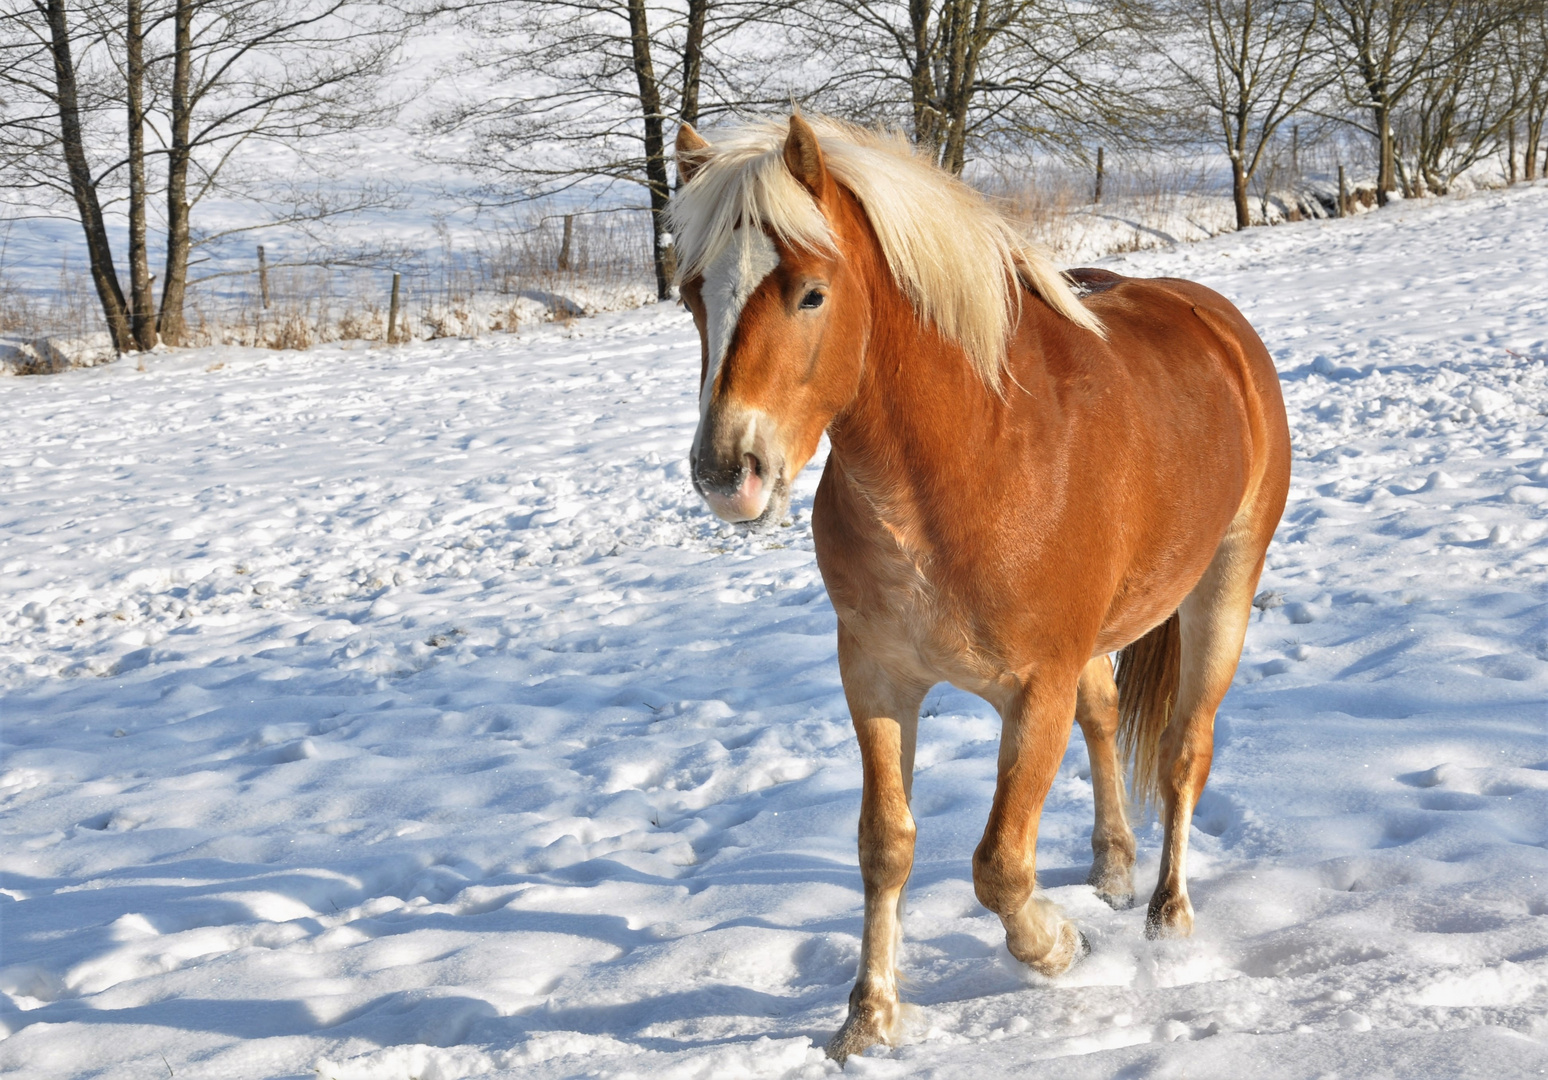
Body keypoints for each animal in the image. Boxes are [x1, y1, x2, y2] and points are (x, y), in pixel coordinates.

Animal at [671, 113, 1287, 1058]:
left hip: (1223, 590)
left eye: (810, 294)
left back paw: (1167, 915)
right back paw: (1113, 867)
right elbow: (885, 845)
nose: (725, 473)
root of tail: (1215, 323)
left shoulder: (1035, 690)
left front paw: (1059, 947)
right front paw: (868, 1018)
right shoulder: (878, 679)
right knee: (1105, 715)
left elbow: (998, 865)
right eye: (693, 295)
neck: (971, 456)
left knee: (1185, 752)